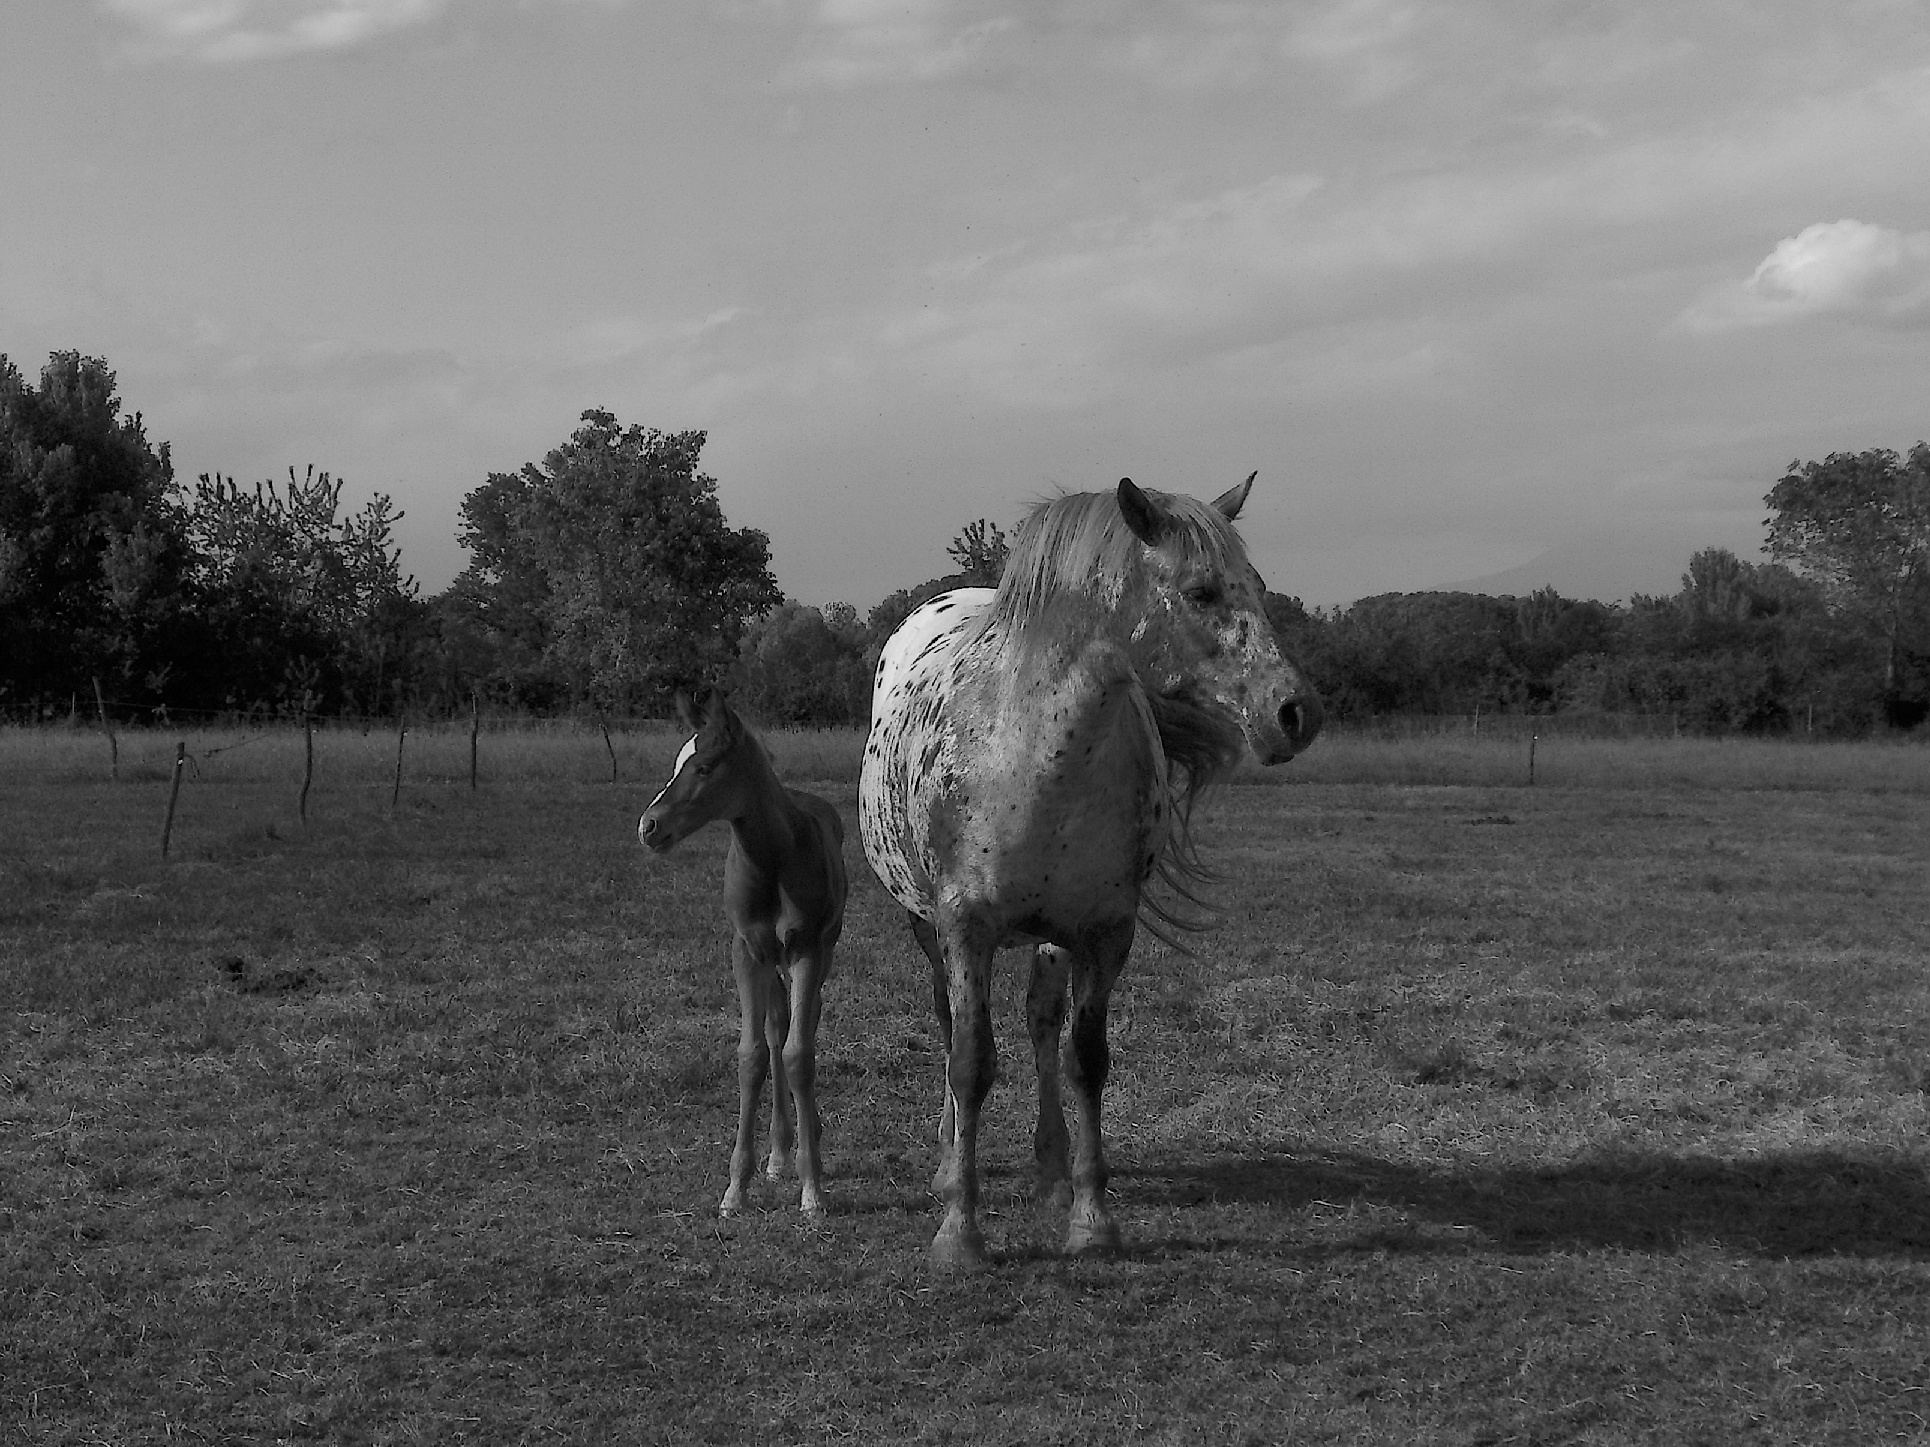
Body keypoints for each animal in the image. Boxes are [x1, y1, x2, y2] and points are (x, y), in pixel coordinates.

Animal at [636, 690, 849, 1227]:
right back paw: (778, 1155)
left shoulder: (806, 948)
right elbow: (752, 1055)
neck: (775, 859)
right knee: (775, 1029)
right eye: (677, 762)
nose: (649, 826)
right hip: (770, 961)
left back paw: (806, 1144)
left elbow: (799, 1055)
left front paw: (812, 1191)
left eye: (704, 766)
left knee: (803, 1025)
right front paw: (736, 1189)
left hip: (824, 948)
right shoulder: (747, 951)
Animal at [864, 472, 1327, 1265]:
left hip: (1053, 935)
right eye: (1201, 591)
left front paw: (1091, 1220)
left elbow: (1086, 1060)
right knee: (950, 1024)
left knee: (1041, 1024)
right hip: (924, 925)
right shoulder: (963, 928)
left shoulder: (1105, 933)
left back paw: (1051, 1169)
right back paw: (946, 1155)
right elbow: (969, 1061)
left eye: (1260, 587)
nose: (1296, 712)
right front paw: (959, 1232)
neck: (1029, 754)